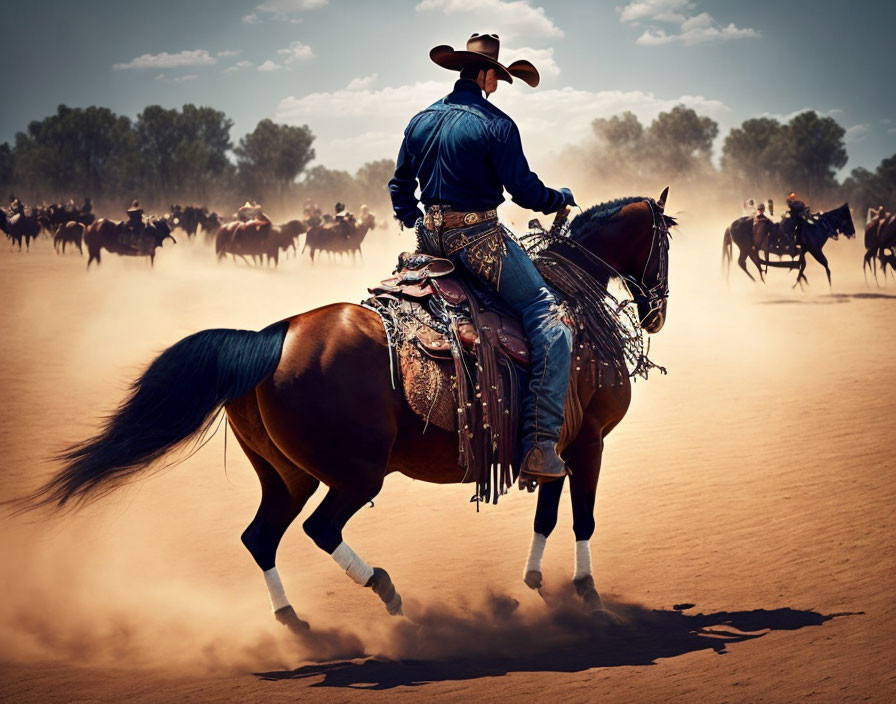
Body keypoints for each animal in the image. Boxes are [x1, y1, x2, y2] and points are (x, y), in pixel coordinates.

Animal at [21, 191, 672, 632]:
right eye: (665, 240)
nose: (658, 310)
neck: (569, 301)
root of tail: (272, 336)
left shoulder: (553, 447)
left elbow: (546, 513)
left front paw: (538, 582)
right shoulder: (589, 442)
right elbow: (581, 517)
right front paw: (588, 594)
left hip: (286, 475)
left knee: (259, 537)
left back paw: (296, 623)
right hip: (356, 476)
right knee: (318, 530)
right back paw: (385, 591)